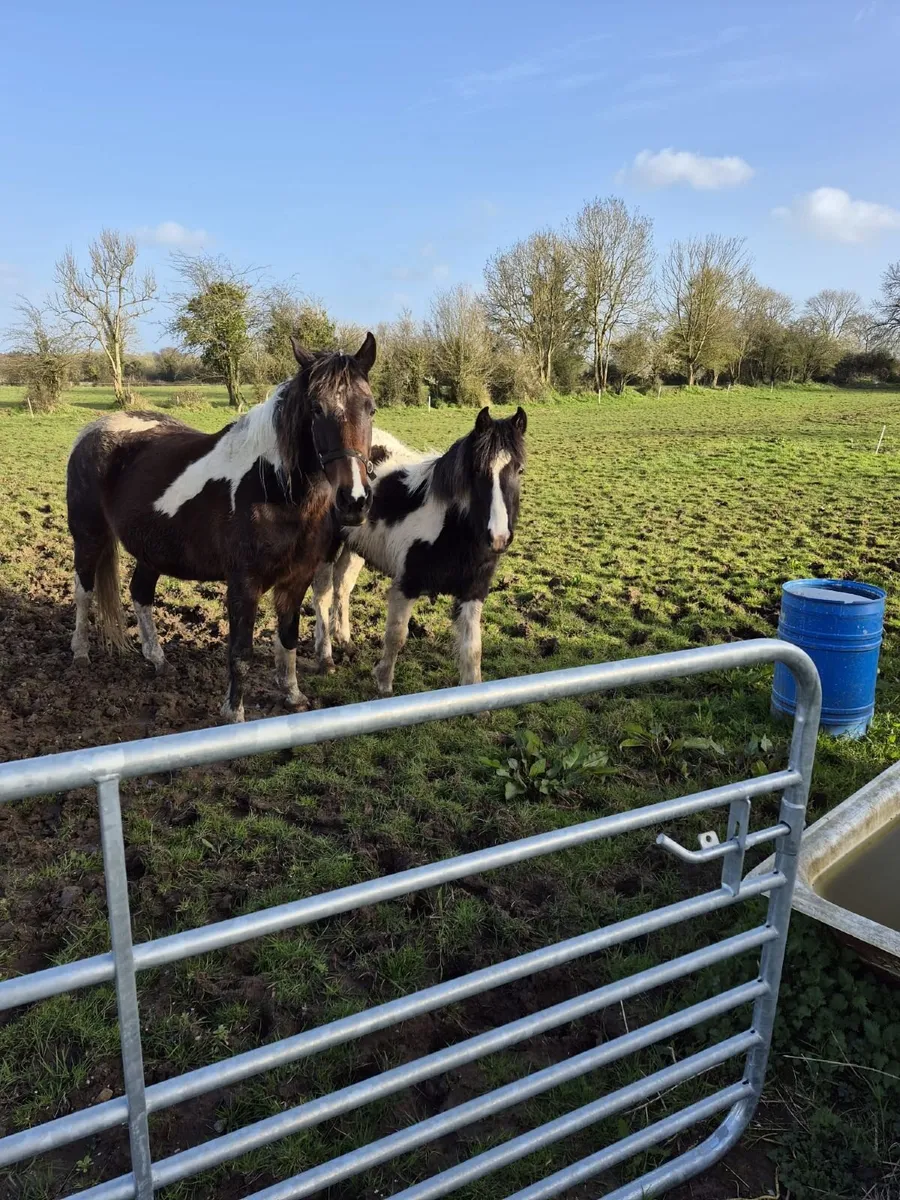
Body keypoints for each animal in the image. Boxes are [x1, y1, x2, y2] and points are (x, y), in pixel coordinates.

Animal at [66, 334, 377, 722]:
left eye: (370, 408)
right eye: (317, 409)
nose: (354, 500)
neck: (273, 486)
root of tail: (94, 430)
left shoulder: (297, 578)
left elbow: (288, 638)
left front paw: (292, 695)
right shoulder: (244, 583)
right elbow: (241, 652)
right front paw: (234, 713)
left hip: (152, 550)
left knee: (140, 594)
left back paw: (157, 659)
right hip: (88, 536)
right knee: (84, 590)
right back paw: (80, 653)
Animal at [311, 405, 527, 695]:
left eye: (520, 470)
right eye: (476, 471)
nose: (499, 537)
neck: (450, 527)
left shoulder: (473, 592)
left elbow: (472, 650)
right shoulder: (406, 586)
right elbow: (396, 637)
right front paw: (384, 684)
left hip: (355, 547)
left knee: (342, 586)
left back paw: (345, 640)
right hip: (328, 546)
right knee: (322, 595)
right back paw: (325, 657)